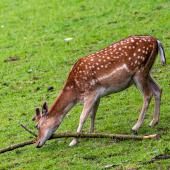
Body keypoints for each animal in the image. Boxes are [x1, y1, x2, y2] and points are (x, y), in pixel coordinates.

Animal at [32, 35, 165, 147]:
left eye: (37, 126)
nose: (37, 143)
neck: (75, 91)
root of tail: (156, 41)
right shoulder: (97, 95)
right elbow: (92, 114)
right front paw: (91, 133)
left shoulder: (91, 93)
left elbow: (82, 117)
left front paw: (74, 141)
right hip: (145, 73)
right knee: (158, 89)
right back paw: (153, 122)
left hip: (139, 72)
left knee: (148, 95)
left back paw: (136, 127)